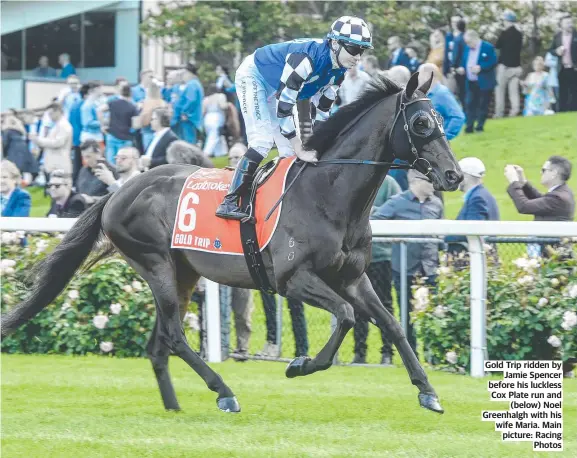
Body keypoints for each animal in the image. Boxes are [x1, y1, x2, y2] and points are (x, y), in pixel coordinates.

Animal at [2, 72, 462, 416]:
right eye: (421, 124)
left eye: (442, 119)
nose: (454, 175)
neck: (328, 193)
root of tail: (117, 192)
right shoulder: (292, 279)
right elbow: (347, 317)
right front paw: (299, 365)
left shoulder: (352, 277)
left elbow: (391, 324)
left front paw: (428, 391)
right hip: (156, 264)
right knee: (173, 337)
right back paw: (223, 392)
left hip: (182, 273)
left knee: (158, 344)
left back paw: (175, 407)